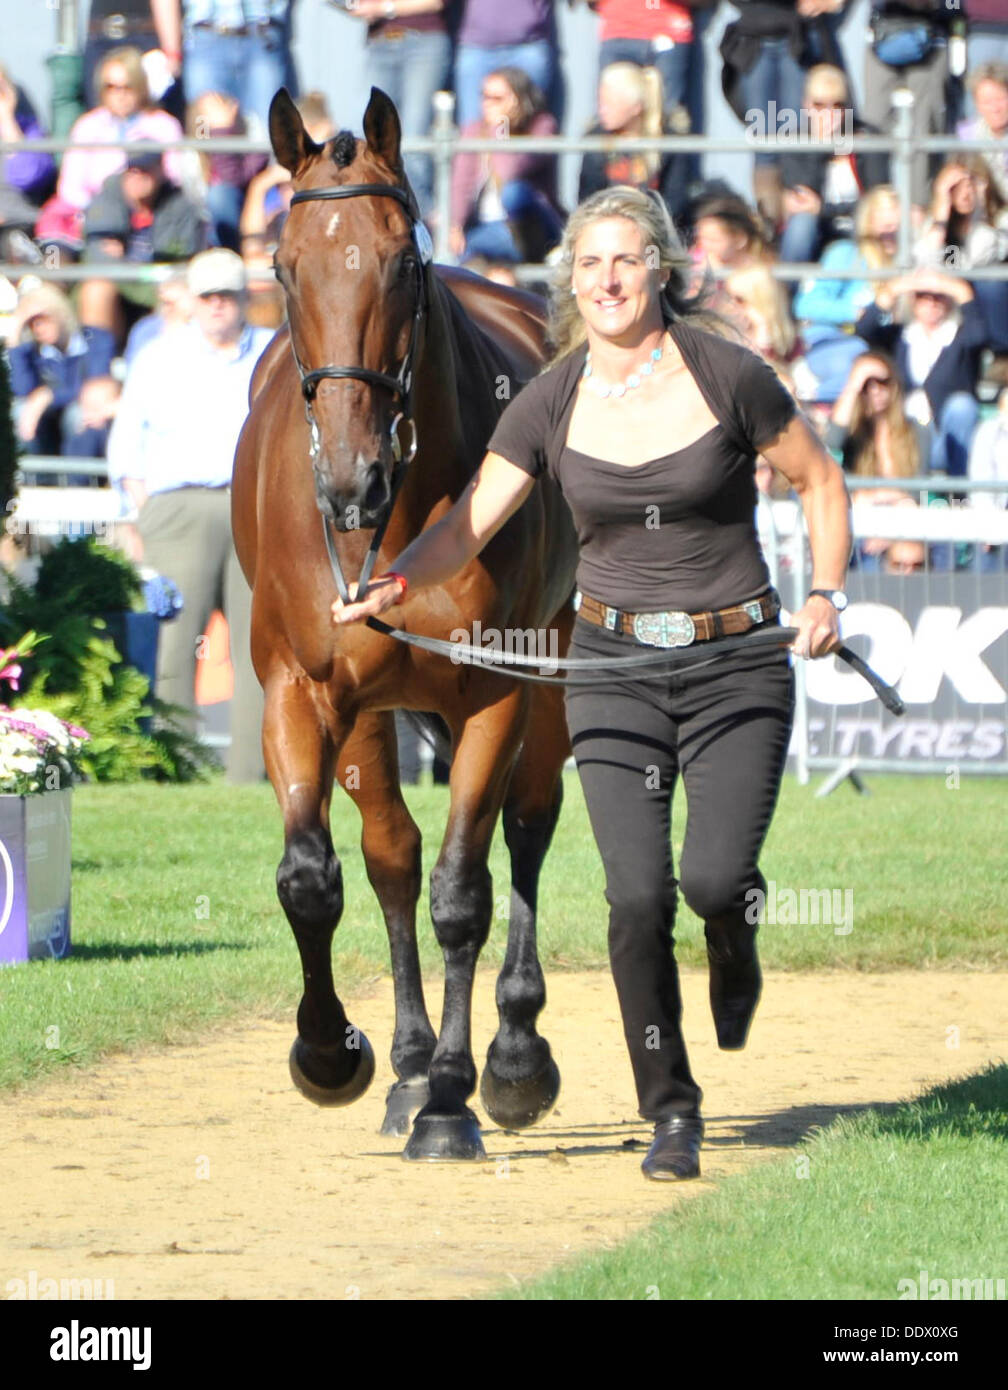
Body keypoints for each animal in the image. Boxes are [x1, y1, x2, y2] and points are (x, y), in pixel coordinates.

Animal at [229, 89, 572, 1162]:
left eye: (401, 264)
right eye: (284, 265)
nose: (351, 480)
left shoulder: (497, 691)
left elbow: (465, 890)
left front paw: (458, 1099)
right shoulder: (301, 691)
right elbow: (315, 876)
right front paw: (332, 1054)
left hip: (554, 674)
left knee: (528, 826)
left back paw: (510, 1056)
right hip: (374, 711)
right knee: (390, 856)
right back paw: (412, 1066)